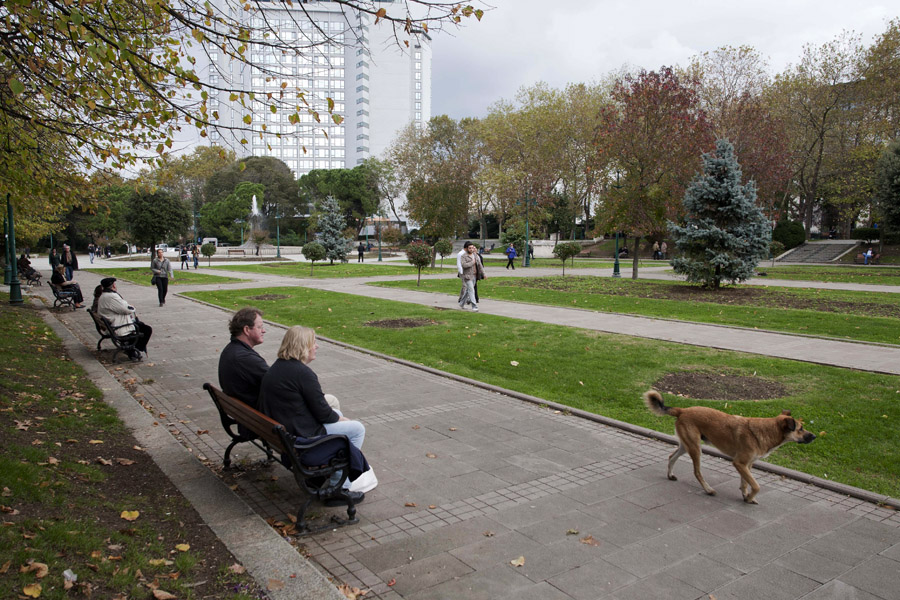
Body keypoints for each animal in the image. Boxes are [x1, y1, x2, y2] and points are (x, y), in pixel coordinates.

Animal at [648, 392, 816, 504]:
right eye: (800, 429)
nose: (814, 436)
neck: (767, 430)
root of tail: (683, 410)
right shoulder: (739, 463)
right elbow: (756, 485)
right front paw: (749, 497)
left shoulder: (747, 464)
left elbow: (745, 482)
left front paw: (746, 495)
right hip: (695, 448)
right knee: (697, 472)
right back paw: (708, 490)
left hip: (686, 445)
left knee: (671, 457)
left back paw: (670, 475)